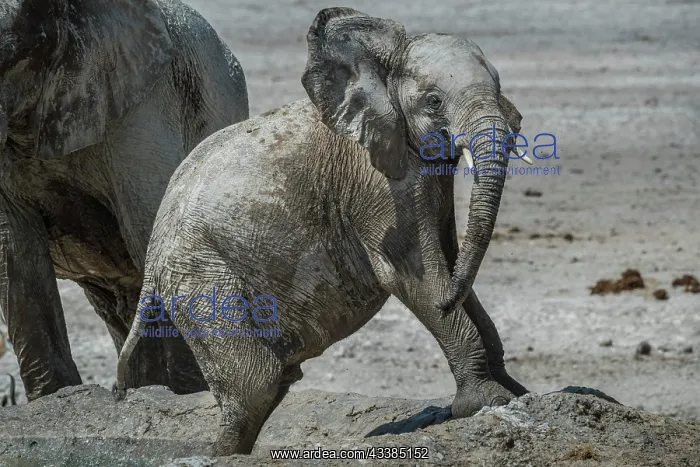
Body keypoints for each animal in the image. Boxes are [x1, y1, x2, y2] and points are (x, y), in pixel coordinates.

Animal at [0, 0, 249, 401]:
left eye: (13, 54)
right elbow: (15, 250)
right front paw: (53, 399)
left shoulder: (141, 105)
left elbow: (150, 226)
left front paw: (188, 398)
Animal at [115, 7, 527, 455]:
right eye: (434, 102)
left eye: (499, 87)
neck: (380, 70)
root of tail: (154, 253)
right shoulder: (376, 181)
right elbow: (413, 275)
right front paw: (487, 401)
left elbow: (451, 262)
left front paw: (516, 393)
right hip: (200, 278)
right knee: (254, 386)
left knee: (271, 385)